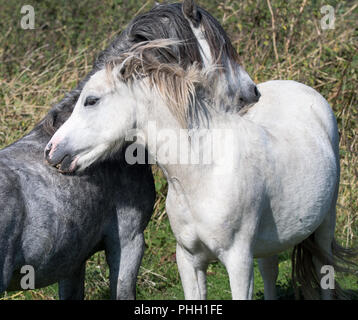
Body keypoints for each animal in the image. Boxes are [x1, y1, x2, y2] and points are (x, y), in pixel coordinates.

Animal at [44, 1, 356, 300]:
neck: (203, 172)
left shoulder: (238, 263)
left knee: (324, 271)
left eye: (91, 100)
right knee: (270, 270)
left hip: (325, 225)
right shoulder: (189, 260)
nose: (51, 150)